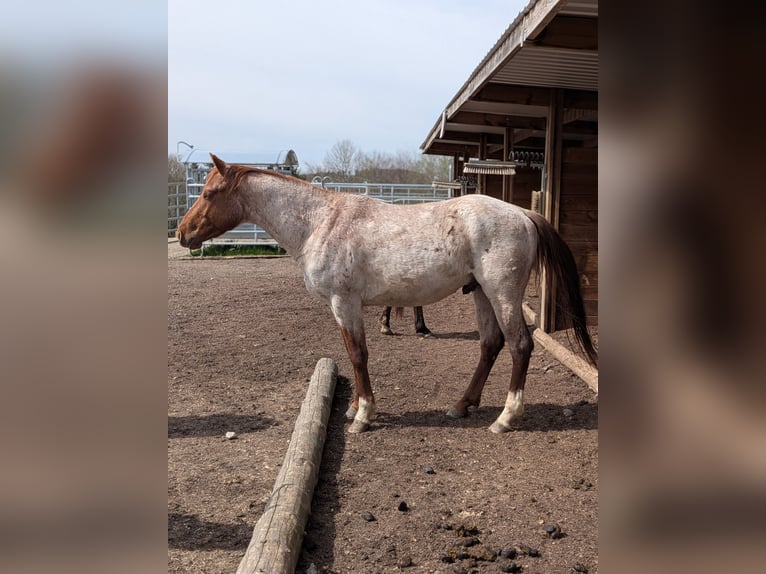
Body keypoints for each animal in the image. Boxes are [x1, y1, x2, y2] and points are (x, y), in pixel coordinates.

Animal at [178, 154, 597, 433]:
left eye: (210, 193)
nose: (183, 232)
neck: (320, 222)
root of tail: (524, 214)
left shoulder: (344, 303)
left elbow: (358, 355)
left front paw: (363, 415)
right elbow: (353, 355)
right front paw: (354, 409)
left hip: (502, 294)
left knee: (519, 345)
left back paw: (506, 417)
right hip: (480, 293)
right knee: (490, 344)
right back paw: (461, 405)